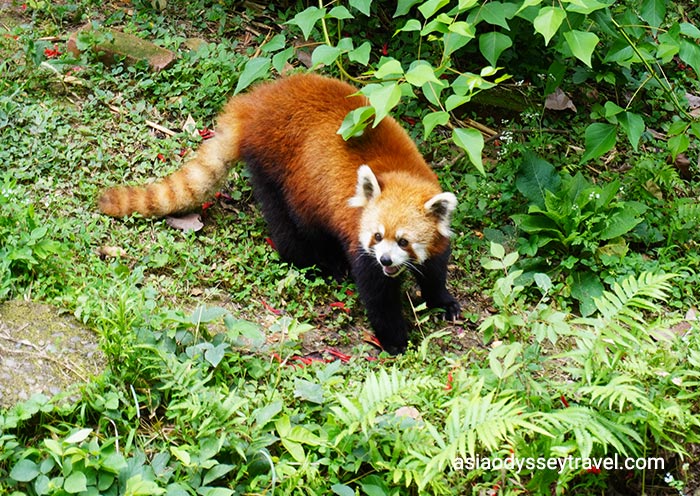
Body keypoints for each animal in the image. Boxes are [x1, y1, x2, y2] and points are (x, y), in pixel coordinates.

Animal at [98, 72, 460, 352]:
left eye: (403, 242)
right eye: (377, 236)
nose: (385, 260)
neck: (400, 174)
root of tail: (255, 101)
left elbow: (434, 269)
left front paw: (443, 301)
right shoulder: (359, 240)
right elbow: (376, 293)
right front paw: (395, 339)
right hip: (275, 166)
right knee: (289, 224)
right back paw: (317, 263)